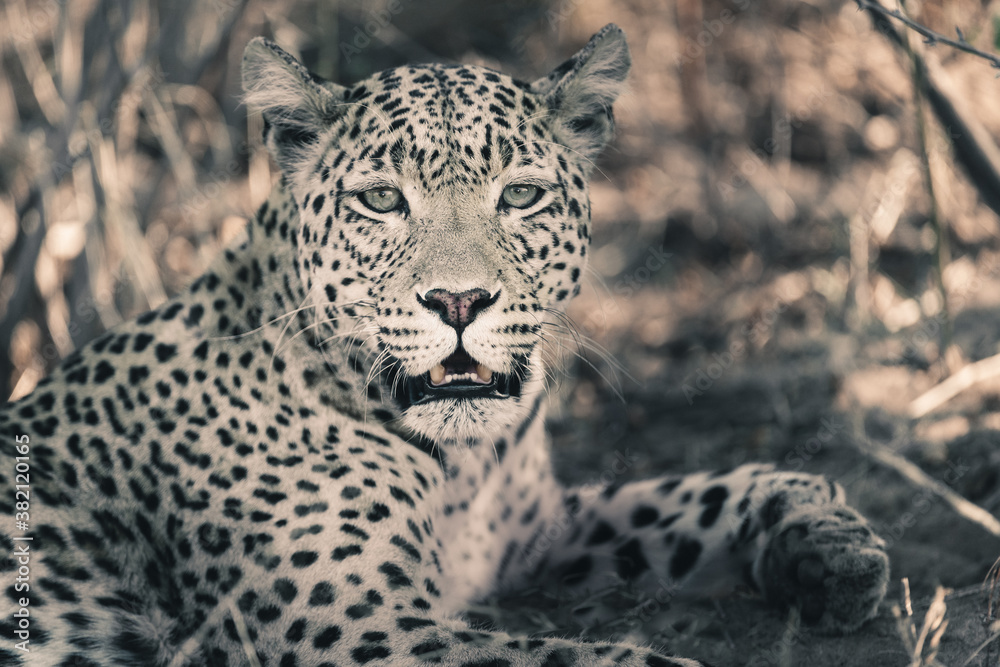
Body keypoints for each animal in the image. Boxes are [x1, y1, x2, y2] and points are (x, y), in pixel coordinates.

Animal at [0, 24, 889, 667]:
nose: (458, 300)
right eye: (381, 200)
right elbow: (595, 658)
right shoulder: (360, 629)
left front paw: (827, 533)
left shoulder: (535, 526)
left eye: (522, 195)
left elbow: (693, 493)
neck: (465, 468)